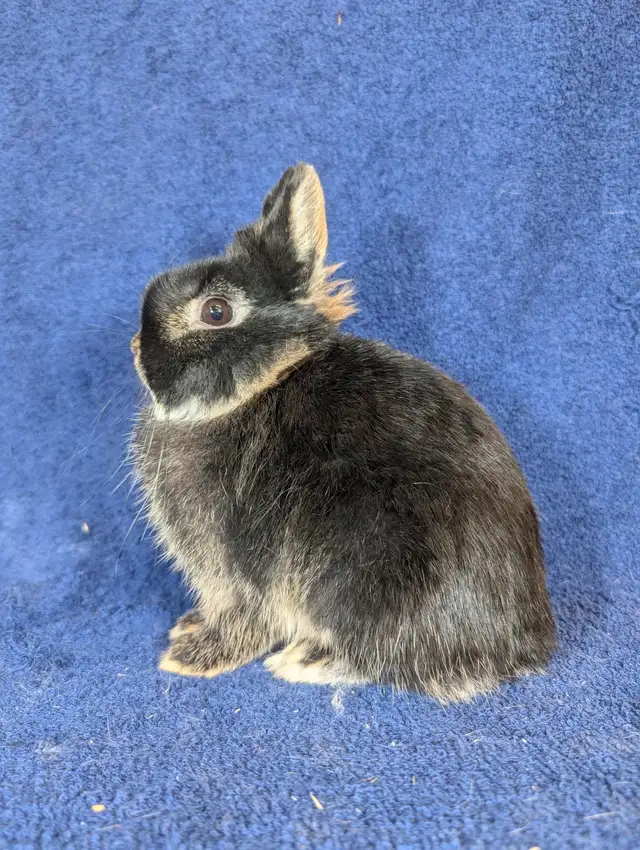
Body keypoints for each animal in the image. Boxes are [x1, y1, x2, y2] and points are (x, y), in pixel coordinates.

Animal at [131, 163, 556, 702]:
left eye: (216, 311)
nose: (136, 347)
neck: (261, 385)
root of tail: (522, 649)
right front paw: (189, 627)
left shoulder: (238, 567)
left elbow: (246, 618)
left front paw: (191, 658)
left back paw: (305, 659)